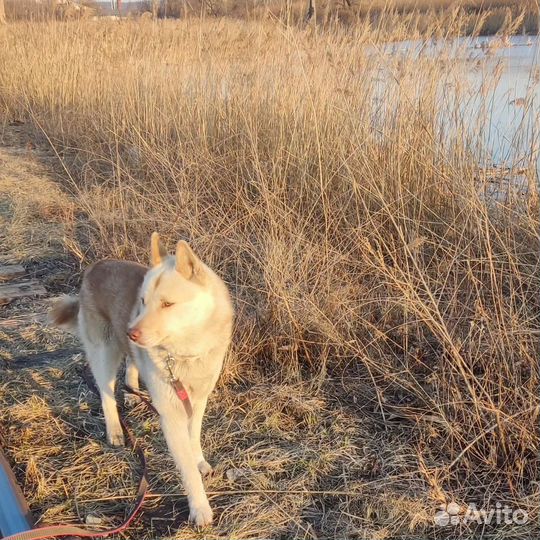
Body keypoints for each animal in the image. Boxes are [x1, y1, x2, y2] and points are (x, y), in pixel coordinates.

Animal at [50, 233, 234, 528]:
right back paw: (115, 430)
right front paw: (200, 507)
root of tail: (95, 267)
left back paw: (133, 390)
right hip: (104, 352)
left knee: (131, 362)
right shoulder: (171, 416)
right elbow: (187, 469)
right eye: (144, 301)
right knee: (106, 393)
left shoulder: (199, 399)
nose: (131, 332)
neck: (185, 352)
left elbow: (194, 436)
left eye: (168, 304)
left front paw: (199, 460)